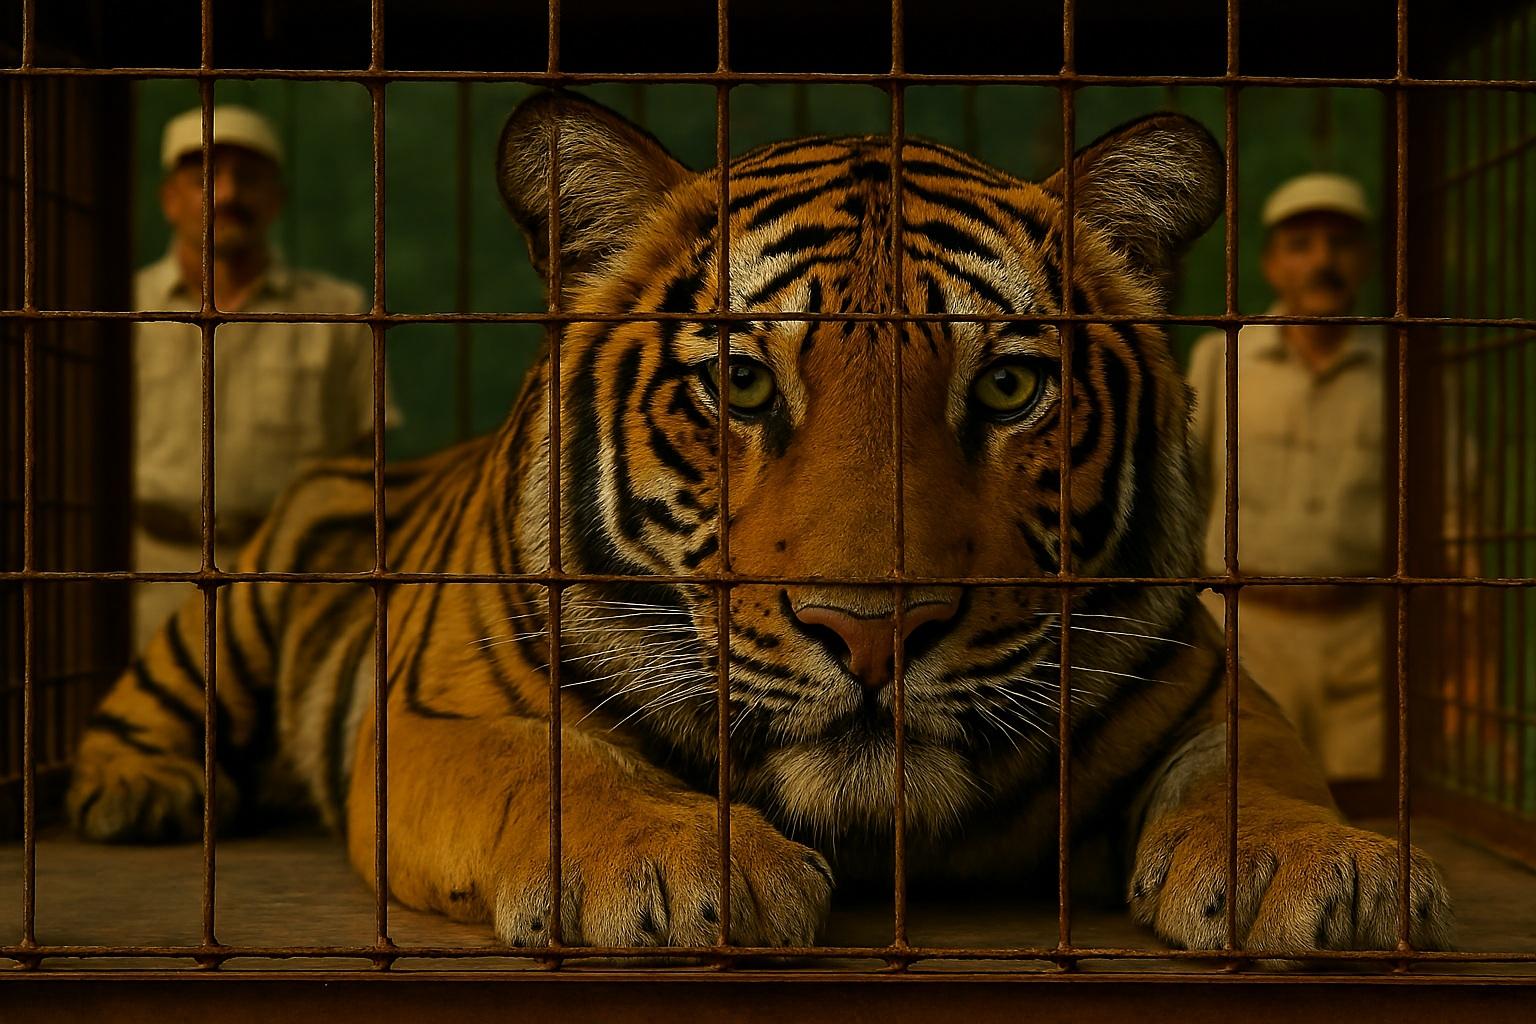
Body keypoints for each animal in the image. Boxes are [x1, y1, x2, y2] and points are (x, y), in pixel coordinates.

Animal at [67, 90, 1453, 954]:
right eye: (740, 383)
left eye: (1010, 387)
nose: (876, 633)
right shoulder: (443, 709)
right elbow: (556, 764)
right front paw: (674, 862)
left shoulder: (1206, 682)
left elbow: (1256, 770)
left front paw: (1325, 869)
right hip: (236, 609)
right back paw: (132, 795)